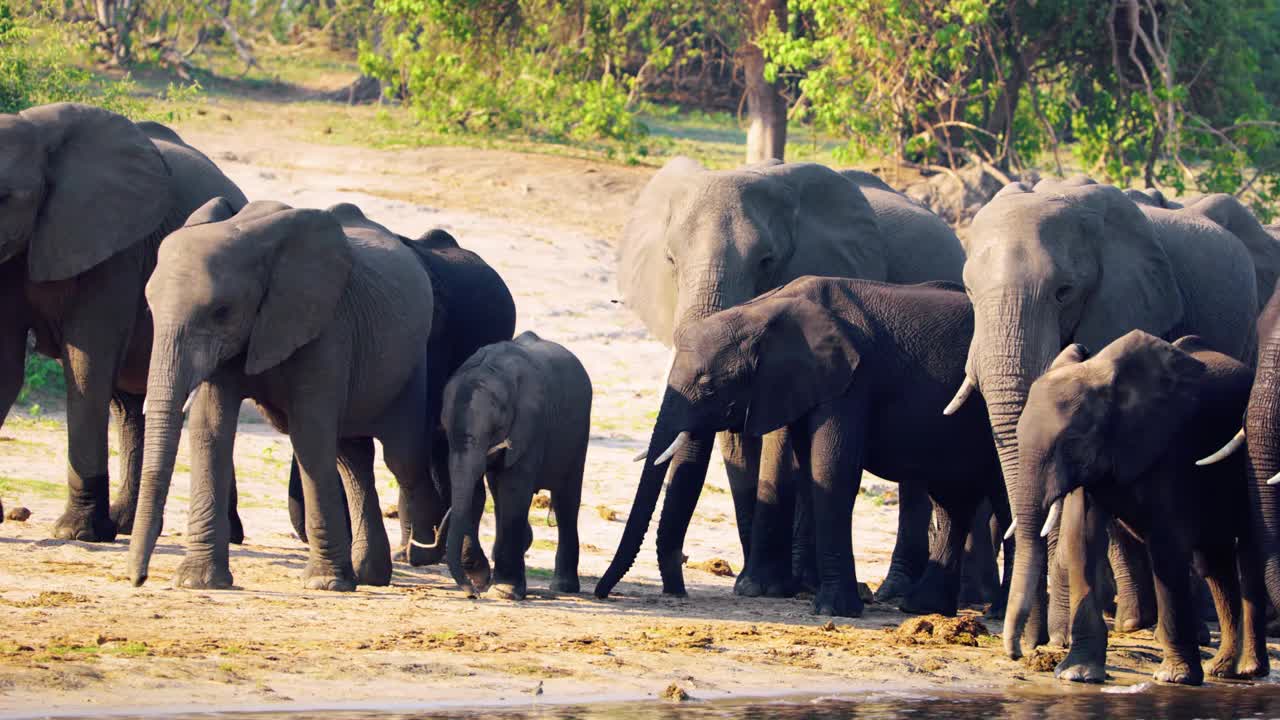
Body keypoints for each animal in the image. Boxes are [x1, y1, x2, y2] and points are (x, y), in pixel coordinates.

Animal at [0, 101, 247, 538]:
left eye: (3, 198)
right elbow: (7, 366)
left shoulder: (117, 247)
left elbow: (87, 366)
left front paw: (76, 533)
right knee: (129, 404)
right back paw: (127, 523)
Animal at [442, 330, 591, 599]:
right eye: (444, 426)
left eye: (495, 428)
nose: (472, 594)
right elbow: (482, 488)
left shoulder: (531, 423)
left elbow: (514, 486)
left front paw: (504, 592)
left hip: (578, 435)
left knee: (566, 500)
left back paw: (563, 587)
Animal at [947, 176, 1274, 661]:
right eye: (968, 292)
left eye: (1063, 292)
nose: (1025, 648)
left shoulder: (1126, 304)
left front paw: (1060, 640)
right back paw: (1137, 622)